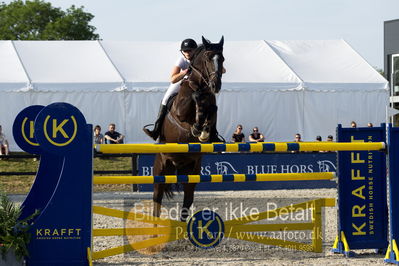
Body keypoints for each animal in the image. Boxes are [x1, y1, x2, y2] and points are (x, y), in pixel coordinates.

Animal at [153, 36, 225, 221]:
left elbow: (213, 109)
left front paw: (204, 131)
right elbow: (195, 96)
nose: (215, 86)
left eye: (222, 59)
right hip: (162, 168)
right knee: (157, 197)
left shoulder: (212, 104)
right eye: (208, 59)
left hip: (191, 169)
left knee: (187, 199)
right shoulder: (181, 111)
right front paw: (197, 127)